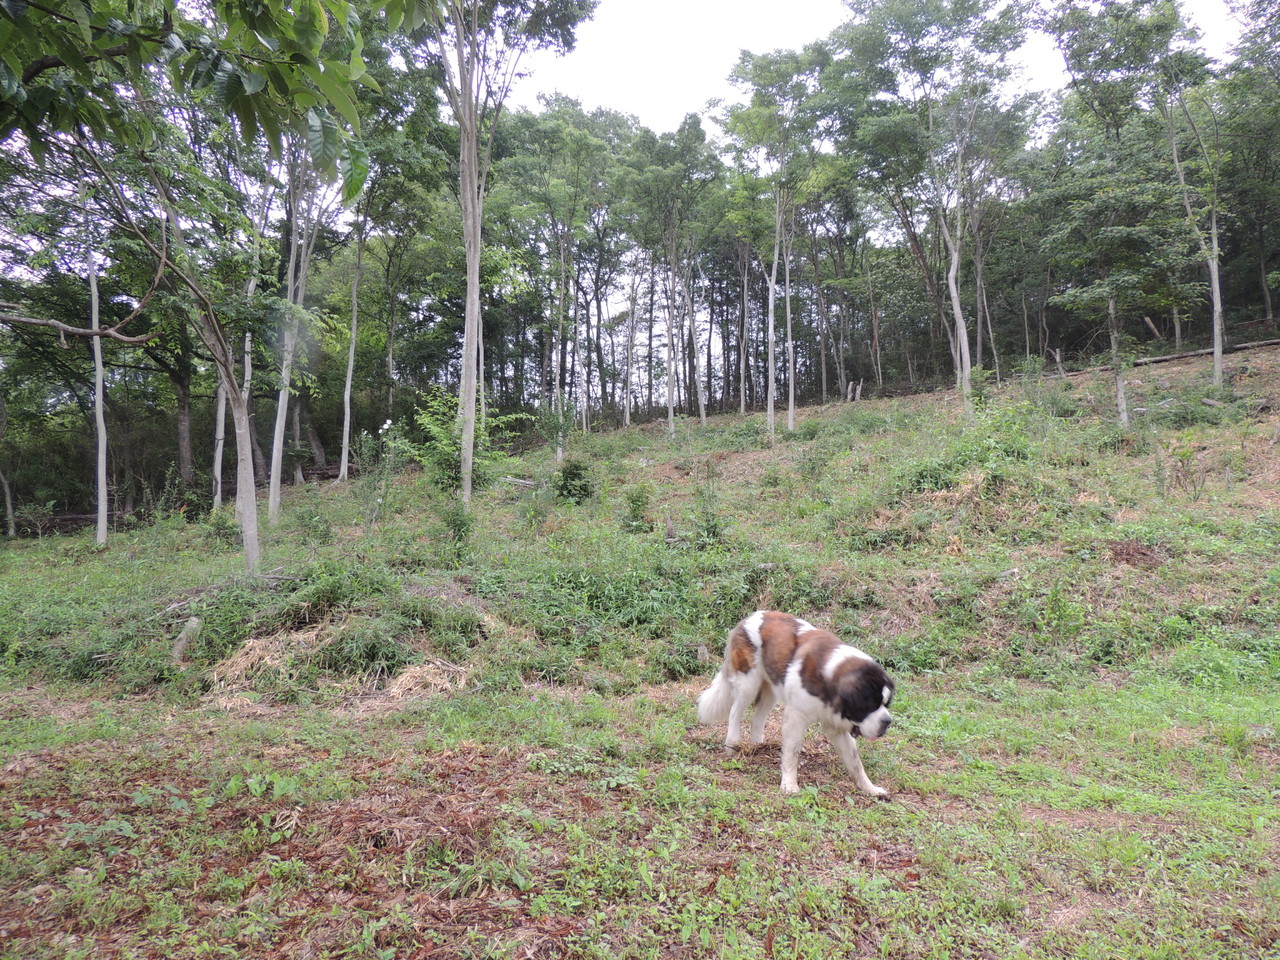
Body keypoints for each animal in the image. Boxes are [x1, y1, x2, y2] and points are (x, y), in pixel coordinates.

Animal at [696, 611, 896, 798]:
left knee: (758, 718)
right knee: (735, 712)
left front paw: (870, 788)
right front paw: (789, 785)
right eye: (870, 705)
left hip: (771, 688)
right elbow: (792, 753)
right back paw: (732, 745)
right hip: (748, 683)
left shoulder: (836, 726)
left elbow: (855, 761)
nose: (887, 721)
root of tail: (748, 618)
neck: (829, 677)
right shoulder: (796, 717)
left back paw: (758, 746)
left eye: (886, 704)